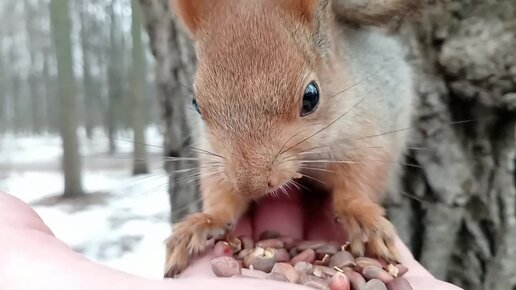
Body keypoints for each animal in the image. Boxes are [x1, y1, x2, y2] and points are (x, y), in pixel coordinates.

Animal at [165, 0, 420, 278]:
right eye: (195, 103)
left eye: (311, 96)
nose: (251, 185)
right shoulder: (212, 155)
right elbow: (220, 192)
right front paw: (205, 221)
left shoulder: (371, 131)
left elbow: (363, 179)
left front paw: (361, 217)